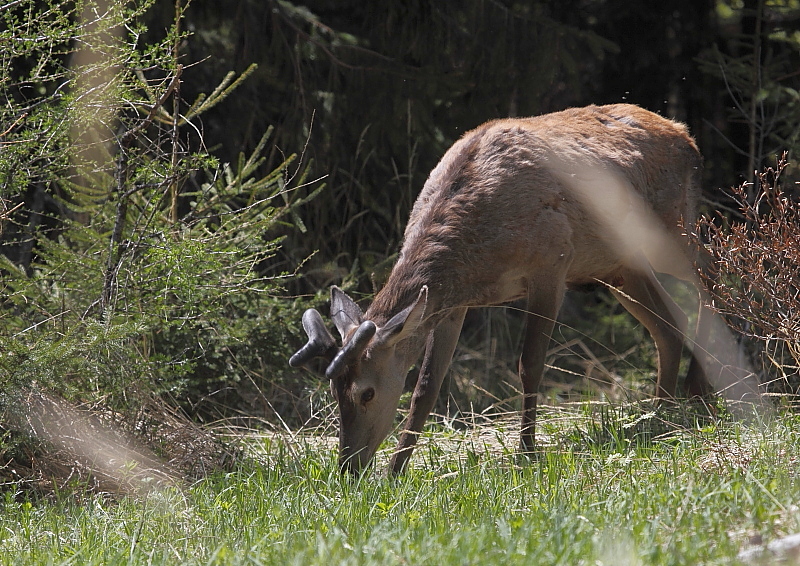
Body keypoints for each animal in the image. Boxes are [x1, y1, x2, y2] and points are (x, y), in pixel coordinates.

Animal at [292, 104, 712, 478]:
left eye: (367, 393)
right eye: (334, 390)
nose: (349, 468)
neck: (476, 253)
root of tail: (687, 136)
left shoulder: (552, 262)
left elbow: (530, 364)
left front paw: (526, 452)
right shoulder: (452, 303)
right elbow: (427, 386)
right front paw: (396, 470)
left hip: (675, 230)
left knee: (713, 279)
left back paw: (699, 390)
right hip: (618, 267)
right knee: (668, 327)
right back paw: (659, 412)